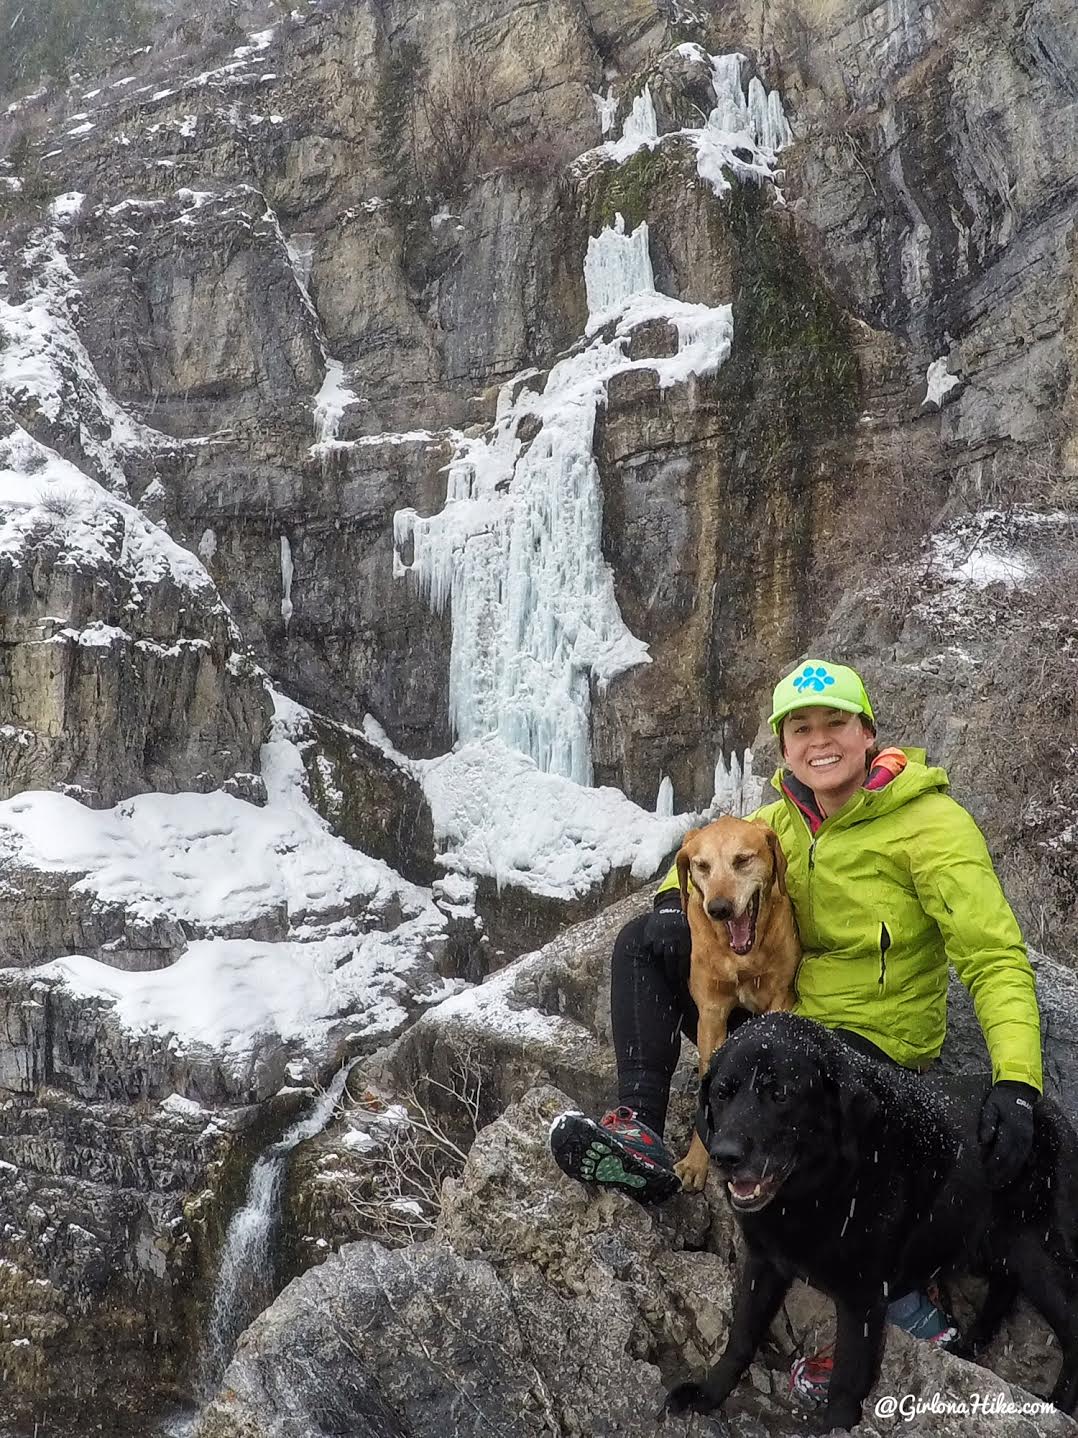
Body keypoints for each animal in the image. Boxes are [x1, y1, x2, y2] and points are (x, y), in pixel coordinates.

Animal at [664, 1018, 1075, 1432]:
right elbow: (742, 1334)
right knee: (1003, 1291)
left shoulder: (861, 1297)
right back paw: (968, 1345)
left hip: (1039, 1256)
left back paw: (1057, 1404)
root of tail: (1049, 1109)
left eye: (780, 1094)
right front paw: (708, 1392)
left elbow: (847, 1377)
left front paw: (836, 1427)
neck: (822, 1188)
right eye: (722, 1094)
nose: (724, 1155)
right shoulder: (765, 1263)